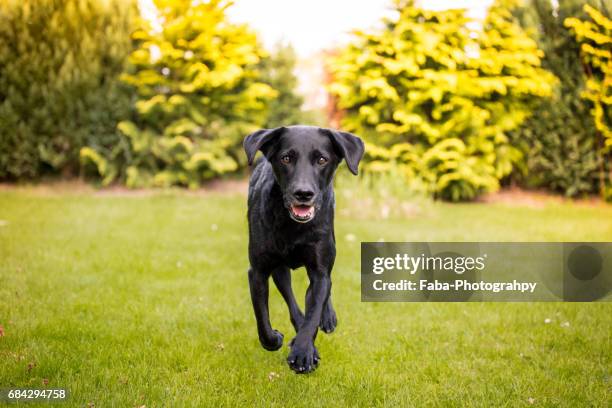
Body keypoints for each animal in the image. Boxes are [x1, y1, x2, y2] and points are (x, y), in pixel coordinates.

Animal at [244, 124, 364, 372]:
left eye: (322, 159)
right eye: (286, 158)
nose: (303, 193)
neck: (293, 226)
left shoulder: (319, 271)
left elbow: (315, 310)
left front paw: (303, 353)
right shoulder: (258, 271)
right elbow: (262, 317)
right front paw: (277, 340)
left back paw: (326, 319)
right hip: (280, 270)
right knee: (291, 300)